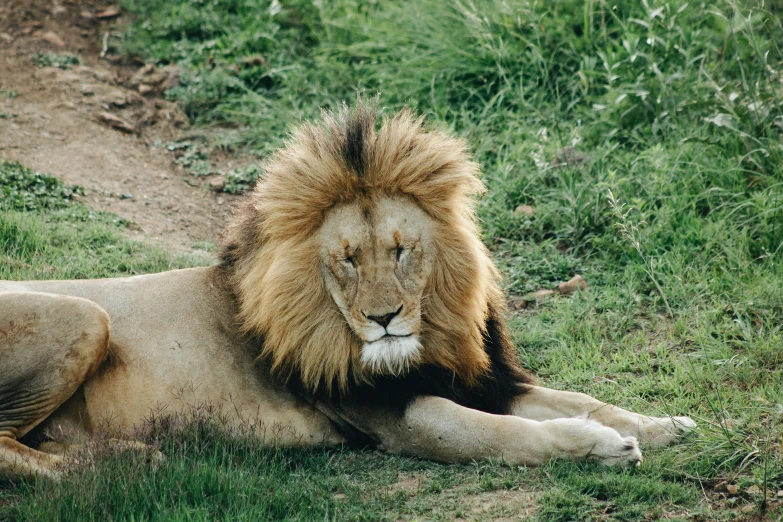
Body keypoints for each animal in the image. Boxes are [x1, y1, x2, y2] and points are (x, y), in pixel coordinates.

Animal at [0, 102, 700, 480]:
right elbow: (509, 438)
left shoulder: (479, 378)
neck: (429, 340)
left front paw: (663, 425)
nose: (385, 318)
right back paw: (121, 464)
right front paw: (605, 447)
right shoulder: (400, 418)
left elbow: (581, 398)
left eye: (401, 250)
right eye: (346, 260)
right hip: (86, 315)